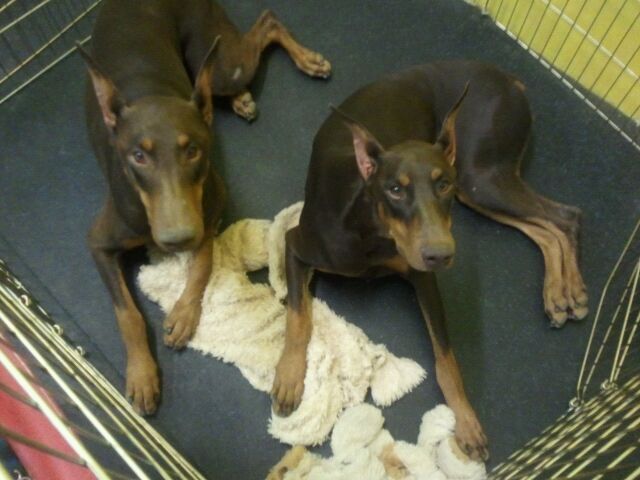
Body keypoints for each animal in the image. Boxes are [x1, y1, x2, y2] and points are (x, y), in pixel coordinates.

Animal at [80, 0, 331, 415]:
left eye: (193, 150)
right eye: (138, 156)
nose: (176, 239)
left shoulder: (211, 213)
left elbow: (201, 266)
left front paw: (183, 314)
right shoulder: (99, 243)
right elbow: (127, 314)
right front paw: (142, 374)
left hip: (221, 59)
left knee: (266, 23)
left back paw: (306, 60)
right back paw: (243, 98)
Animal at [272, 61, 588, 461]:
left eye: (441, 184)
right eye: (395, 189)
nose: (440, 255)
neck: (371, 231)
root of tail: (509, 80)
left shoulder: (424, 278)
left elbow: (447, 360)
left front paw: (466, 421)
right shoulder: (296, 245)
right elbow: (298, 317)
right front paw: (288, 377)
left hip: (478, 177)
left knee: (565, 217)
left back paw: (568, 291)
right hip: (478, 182)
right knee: (549, 226)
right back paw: (560, 294)